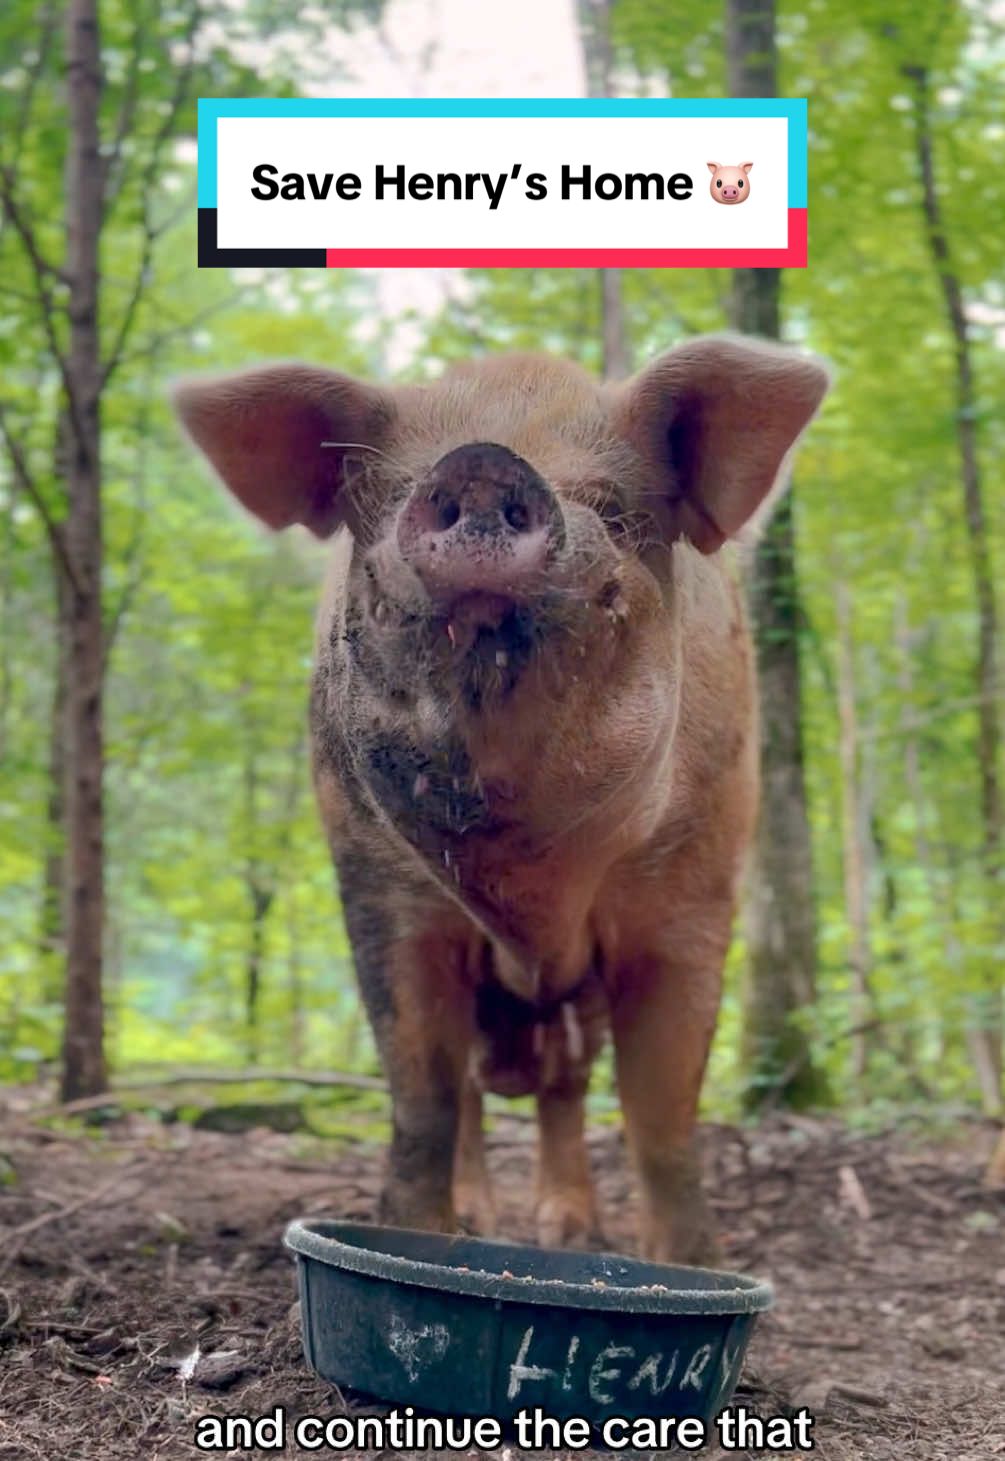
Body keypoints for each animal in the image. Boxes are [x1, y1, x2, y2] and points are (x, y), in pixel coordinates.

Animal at [174, 336, 828, 1264]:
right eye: (383, 496)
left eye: (611, 506)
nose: (481, 464)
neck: (531, 894)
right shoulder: (376, 887)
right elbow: (422, 1097)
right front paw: (409, 1238)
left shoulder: (696, 885)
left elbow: (662, 1110)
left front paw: (690, 1266)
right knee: (480, 1092)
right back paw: (484, 1222)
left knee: (564, 1086)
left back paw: (569, 1232)